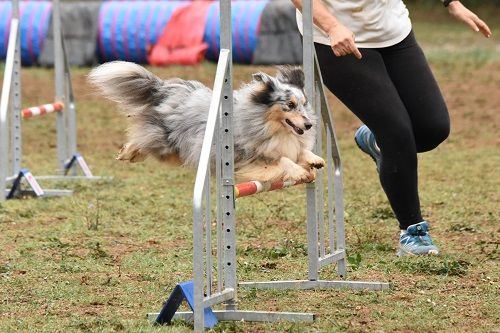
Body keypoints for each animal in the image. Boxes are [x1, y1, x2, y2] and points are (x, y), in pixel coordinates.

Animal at [88, 62, 326, 182]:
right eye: (290, 105)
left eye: (304, 104)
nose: (308, 125)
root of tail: (166, 88)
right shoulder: (247, 158)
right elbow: (283, 161)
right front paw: (299, 171)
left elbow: (300, 152)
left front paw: (314, 160)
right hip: (166, 142)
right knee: (144, 139)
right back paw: (128, 153)